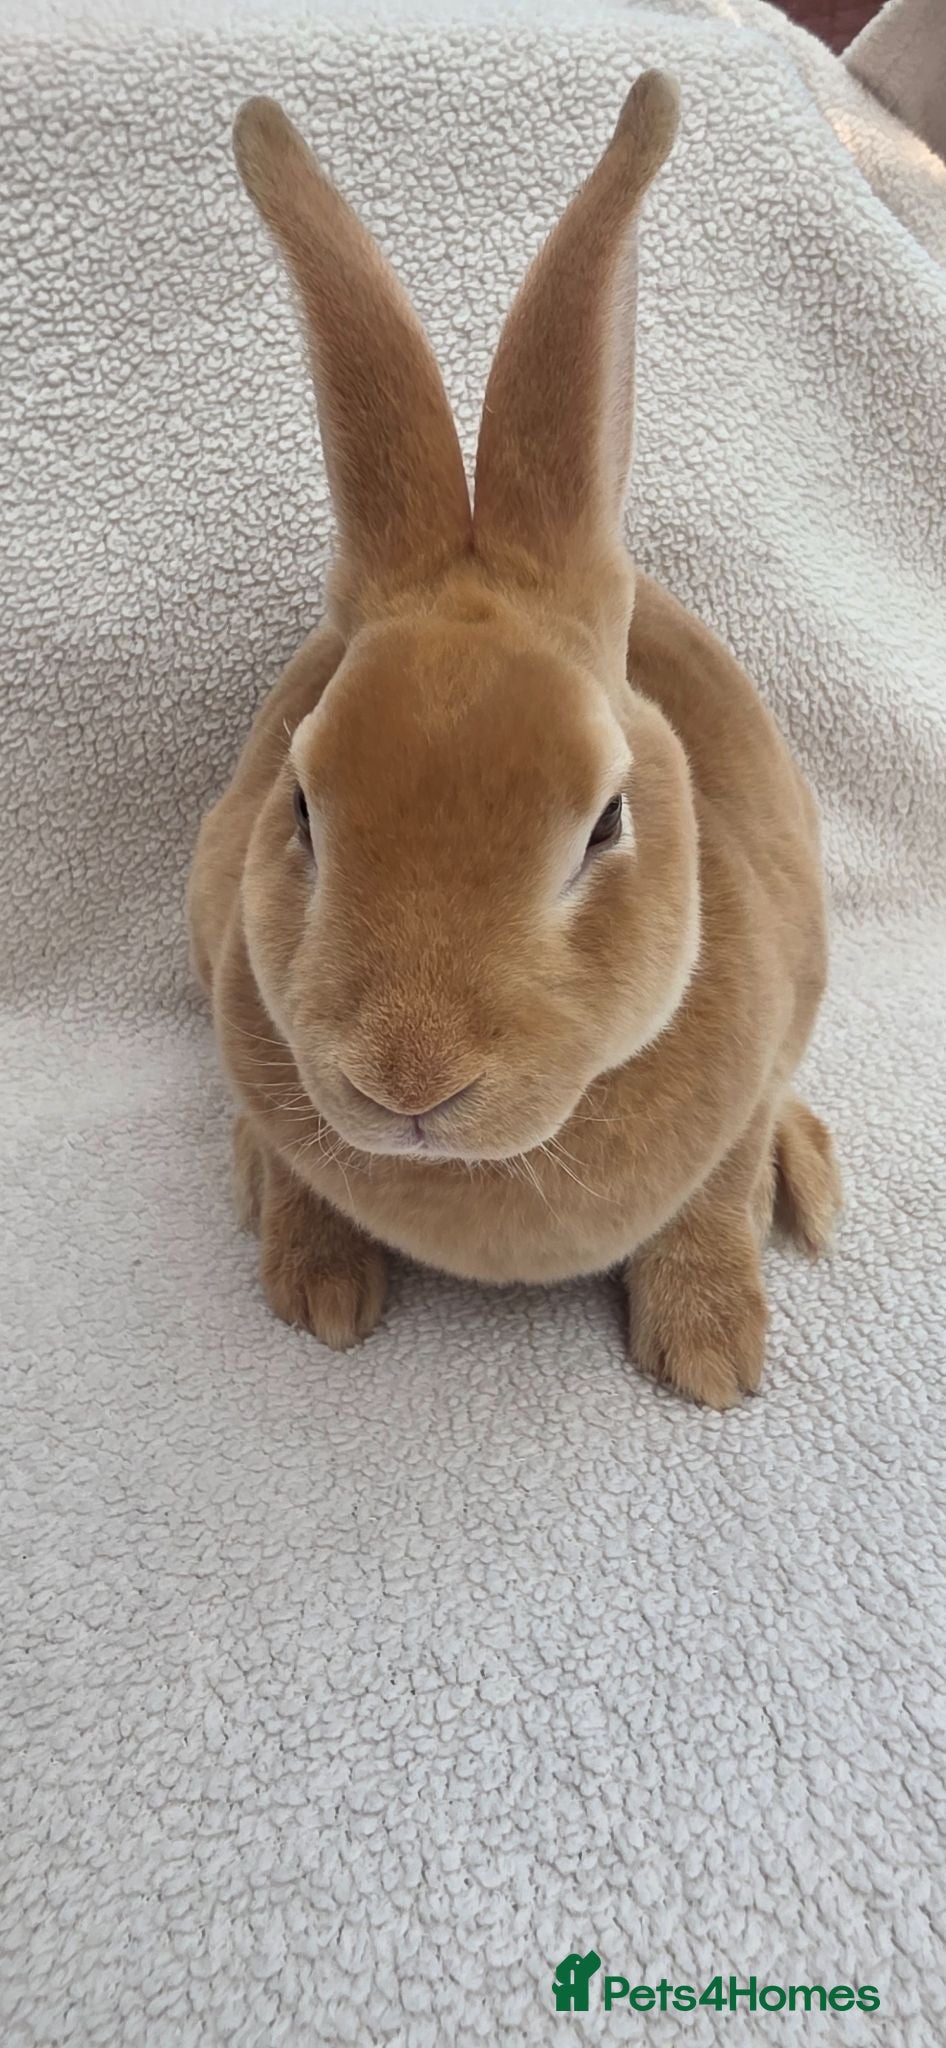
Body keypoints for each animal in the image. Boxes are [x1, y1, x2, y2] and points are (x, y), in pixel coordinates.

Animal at [188, 72, 842, 1408]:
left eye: (606, 821)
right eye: (302, 808)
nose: (408, 1082)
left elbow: (712, 1200)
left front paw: (710, 1355)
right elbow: (295, 1169)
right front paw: (321, 1292)